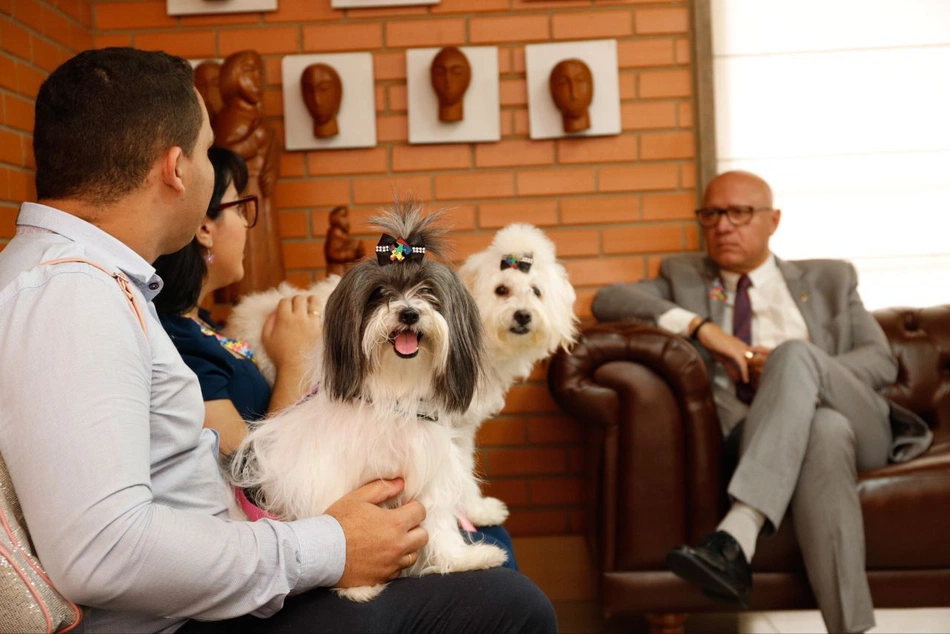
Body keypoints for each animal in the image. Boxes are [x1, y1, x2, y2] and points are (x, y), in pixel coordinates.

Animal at [230, 202, 506, 596]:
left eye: (428, 291)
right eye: (380, 292)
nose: (409, 312)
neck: (394, 395)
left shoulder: (428, 471)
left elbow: (440, 523)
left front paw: (462, 560)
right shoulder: (327, 478)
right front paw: (358, 584)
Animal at [454, 222, 580, 524]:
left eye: (536, 291)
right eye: (501, 290)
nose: (523, 315)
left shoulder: (461, 430)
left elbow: (462, 471)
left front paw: (477, 511)